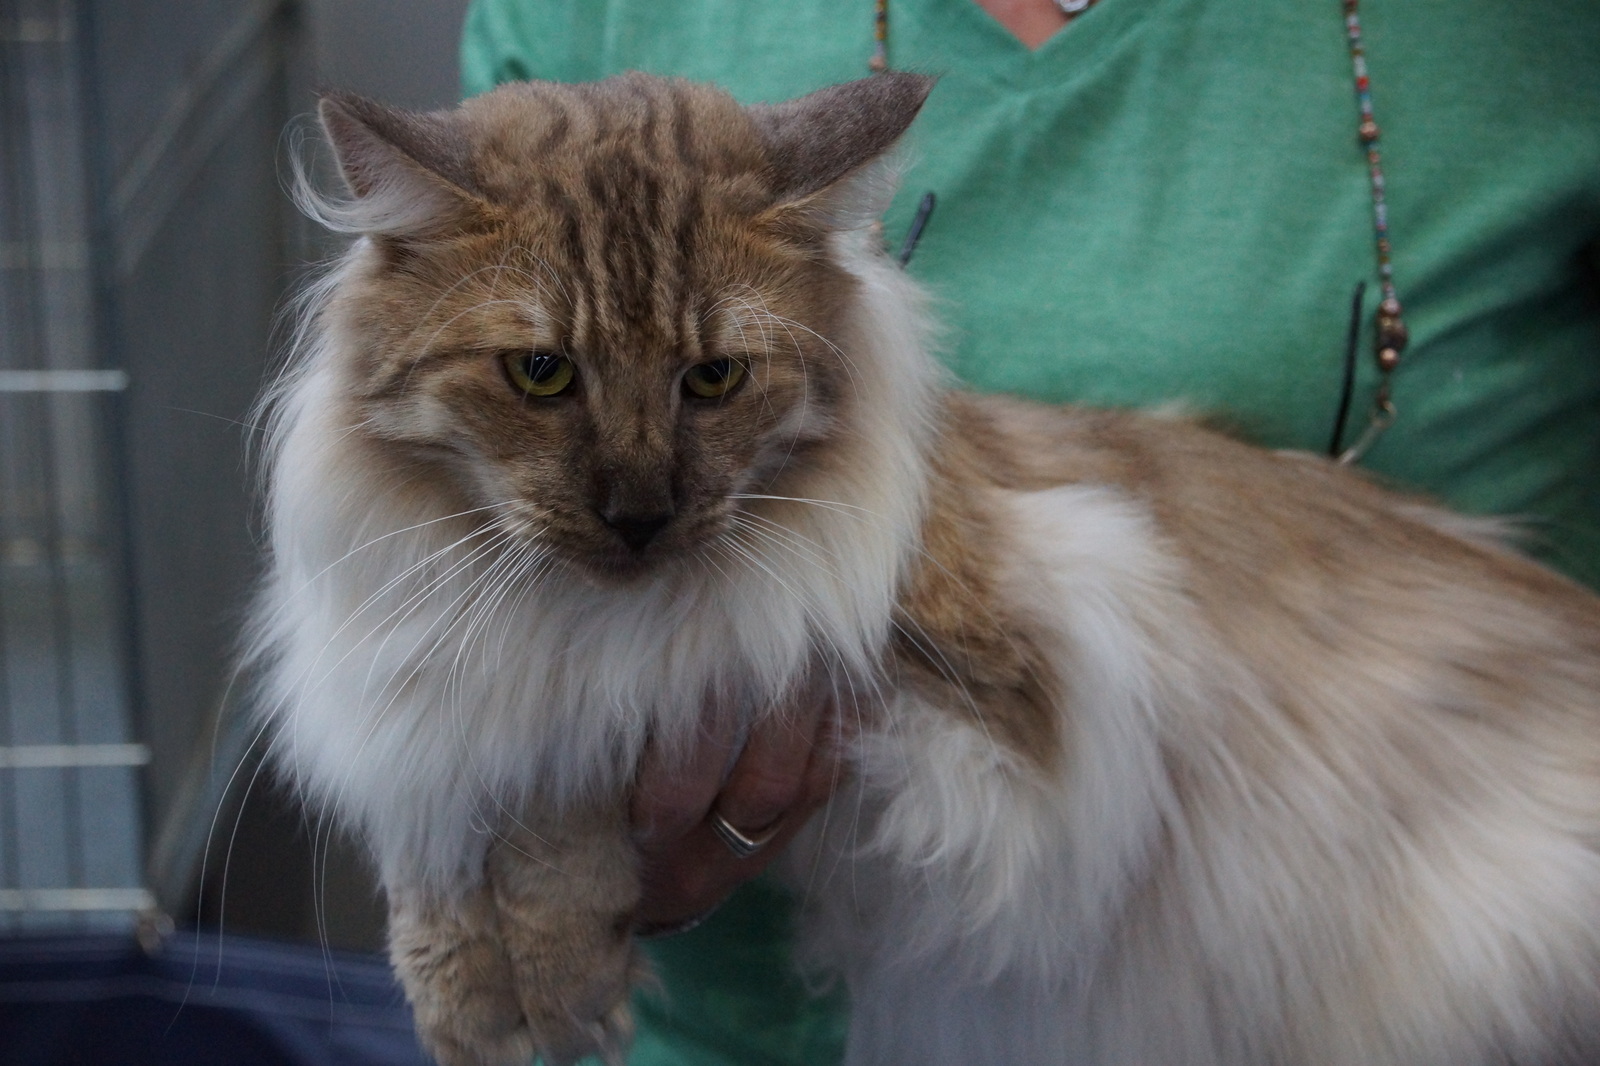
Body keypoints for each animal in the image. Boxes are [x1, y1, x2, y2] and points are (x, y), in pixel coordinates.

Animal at [249, 68, 1600, 1062]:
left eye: (712, 379)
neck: (533, 597)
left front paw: (546, 988)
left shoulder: (968, 658)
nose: (639, 517)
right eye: (540, 374)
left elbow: (577, 755)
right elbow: (432, 805)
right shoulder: (399, 650)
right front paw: (466, 997)